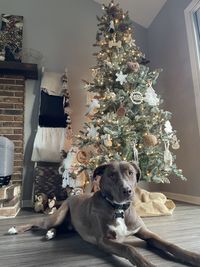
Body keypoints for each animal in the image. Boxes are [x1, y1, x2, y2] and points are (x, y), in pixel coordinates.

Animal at [7, 161, 200, 267]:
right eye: (112, 175)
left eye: (130, 173)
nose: (127, 191)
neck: (119, 209)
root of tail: (72, 196)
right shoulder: (104, 241)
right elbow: (130, 249)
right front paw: (148, 264)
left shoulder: (144, 232)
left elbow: (170, 245)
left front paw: (193, 257)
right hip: (58, 215)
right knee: (39, 223)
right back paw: (15, 229)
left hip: (67, 225)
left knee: (59, 229)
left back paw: (51, 234)